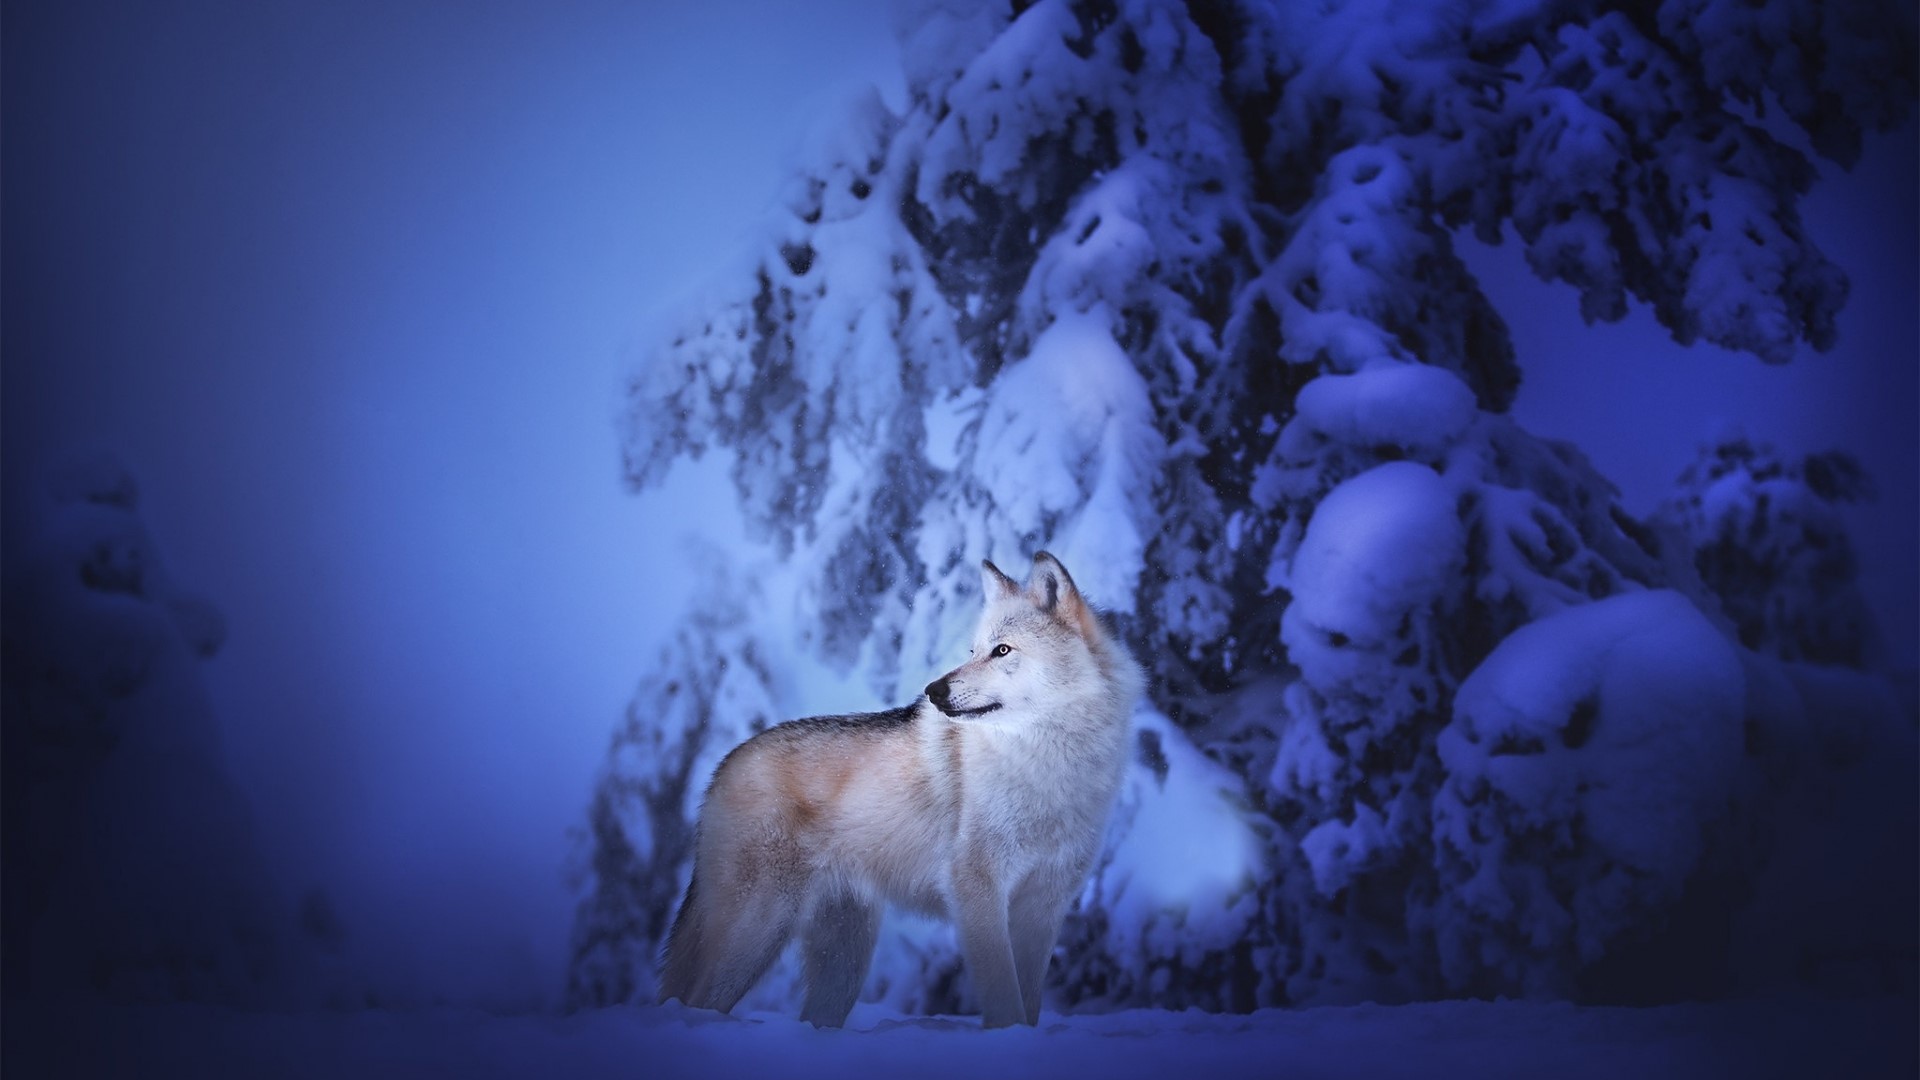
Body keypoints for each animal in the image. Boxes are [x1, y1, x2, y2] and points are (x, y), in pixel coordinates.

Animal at [656, 551, 1143, 1028]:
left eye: (1002, 649)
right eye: (973, 650)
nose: (933, 690)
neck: (1047, 765)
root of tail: (724, 765)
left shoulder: (1044, 906)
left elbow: (1031, 1003)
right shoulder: (978, 889)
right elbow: (1006, 1002)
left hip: (842, 964)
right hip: (760, 930)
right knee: (695, 1004)